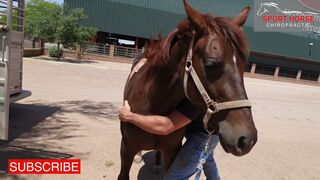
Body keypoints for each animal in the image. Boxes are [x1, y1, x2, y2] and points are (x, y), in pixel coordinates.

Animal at [118, 1, 258, 179]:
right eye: (211, 65)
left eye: (244, 65)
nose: (247, 140)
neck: (153, 105)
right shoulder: (126, 149)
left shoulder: (172, 152)